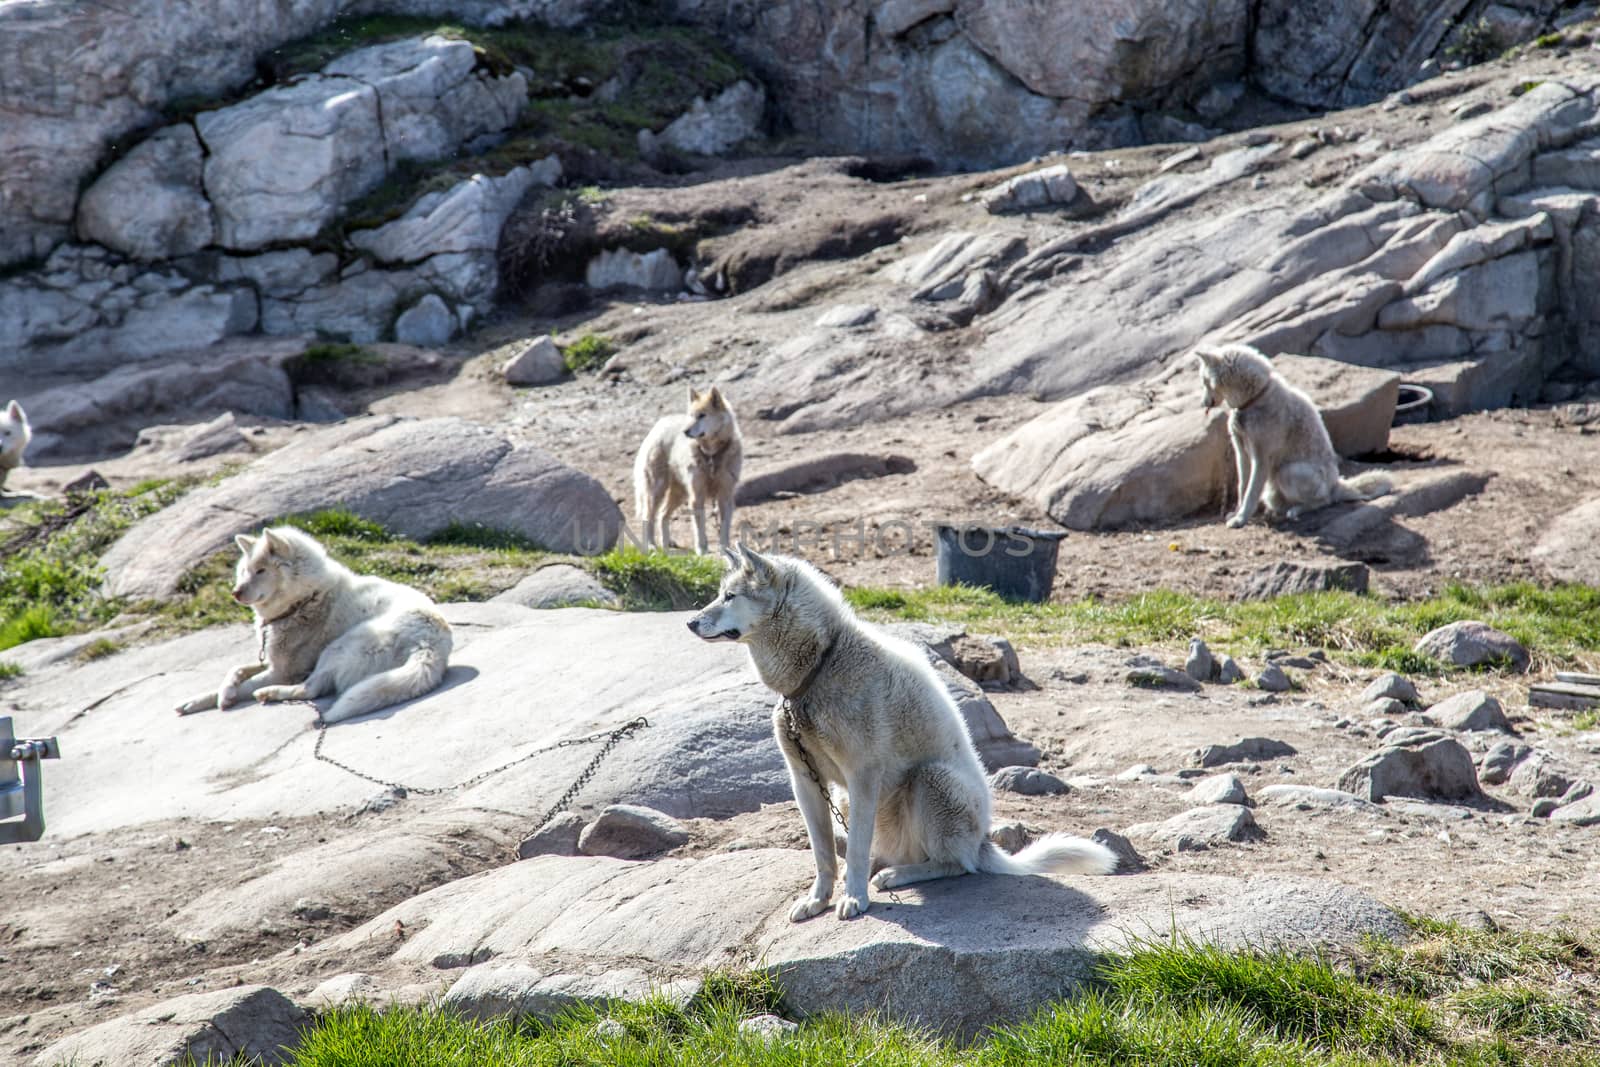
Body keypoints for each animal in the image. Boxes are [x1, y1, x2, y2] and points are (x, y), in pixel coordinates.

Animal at [178, 527, 454, 726]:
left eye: (261, 570)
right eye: (244, 571)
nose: (234, 593)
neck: (305, 599)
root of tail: (430, 645)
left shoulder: (282, 671)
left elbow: (241, 684)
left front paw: (222, 697)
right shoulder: (271, 660)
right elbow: (234, 671)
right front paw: (199, 700)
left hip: (338, 648)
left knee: (309, 689)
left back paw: (269, 693)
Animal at [630, 385, 742, 556]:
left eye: (702, 415)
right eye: (691, 416)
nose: (685, 431)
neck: (711, 454)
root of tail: (659, 424)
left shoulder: (725, 496)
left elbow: (724, 528)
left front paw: (725, 550)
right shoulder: (697, 496)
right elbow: (699, 527)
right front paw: (702, 549)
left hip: (679, 493)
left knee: (663, 515)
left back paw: (666, 544)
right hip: (657, 491)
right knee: (648, 517)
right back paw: (651, 545)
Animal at [684, 547, 1113, 921]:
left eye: (730, 596)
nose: (689, 623)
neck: (821, 663)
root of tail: (984, 843)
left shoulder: (863, 777)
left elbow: (856, 849)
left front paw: (854, 899)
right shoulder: (805, 780)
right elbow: (823, 854)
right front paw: (817, 901)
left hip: (931, 780)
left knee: (957, 865)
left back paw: (897, 875)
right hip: (856, 799)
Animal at [1203, 343, 1388, 527]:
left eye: (1205, 381)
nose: (1203, 403)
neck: (1255, 398)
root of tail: (1335, 485)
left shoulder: (1261, 457)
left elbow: (1251, 492)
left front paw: (1241, 519)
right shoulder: (1241, 452)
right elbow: (1242, 487)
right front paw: (1237, 513)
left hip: (1287, 472)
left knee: (1324, 500)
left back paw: (1297, 511)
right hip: (1274, 490)